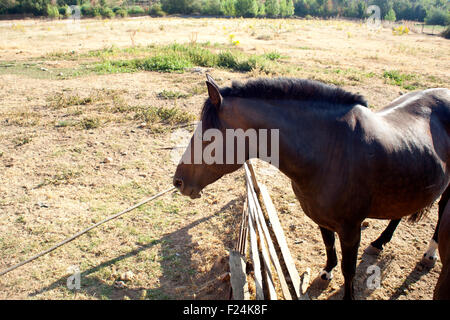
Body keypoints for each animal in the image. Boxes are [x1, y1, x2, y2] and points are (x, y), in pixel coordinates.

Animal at [173, 75, 450, 300]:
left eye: (208, 137)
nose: (178, 182)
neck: (330, 152)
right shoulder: (321, 218)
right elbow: (328, 246)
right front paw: (326, 273)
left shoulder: (351, 229)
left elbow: (349, 271)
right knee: (399, 213)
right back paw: (380, 242)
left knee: (441, 213)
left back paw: (429, 254)